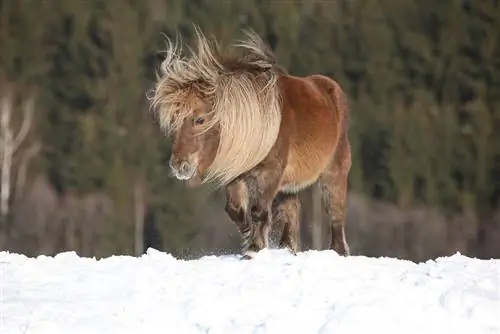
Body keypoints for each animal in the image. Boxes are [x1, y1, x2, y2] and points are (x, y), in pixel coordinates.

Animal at [148, 27, 352, 260]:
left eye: (200, 120)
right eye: (171, 121)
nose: (179, 165)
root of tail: (332, 88)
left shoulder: (271, 174)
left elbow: (258, 210)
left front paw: (254, 248)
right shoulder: (236, 174)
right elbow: (235, 209)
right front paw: (248, 236)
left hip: (334, 172)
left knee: (335, 212)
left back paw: (338, 251)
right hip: (288, 185)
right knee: (292, 209)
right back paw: (287, 248)